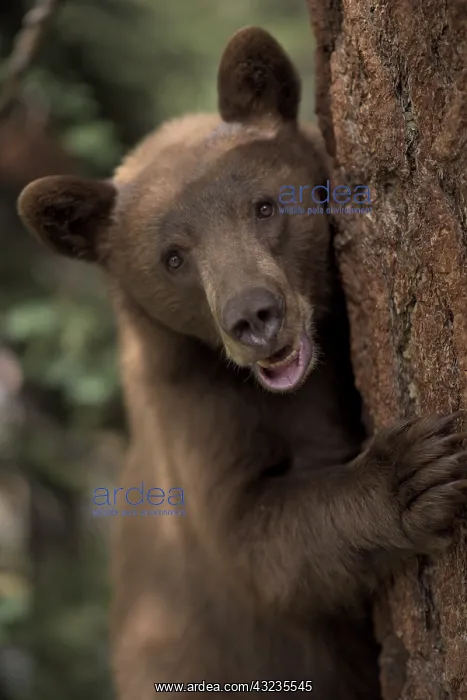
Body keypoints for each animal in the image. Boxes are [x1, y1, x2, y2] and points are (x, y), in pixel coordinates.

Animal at [17, 26, 467, 700]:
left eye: (264, 207)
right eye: (174, 257)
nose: (254, 316)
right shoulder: (192, 408)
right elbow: (256, 544)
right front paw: (412, 473)